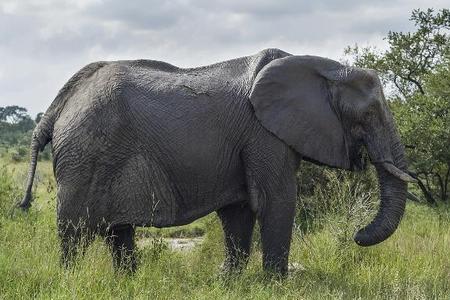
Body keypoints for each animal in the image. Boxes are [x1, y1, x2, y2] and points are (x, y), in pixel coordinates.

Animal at [20, 48, 414, 274]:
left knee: (120, 231)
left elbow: (240, 210)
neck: (325, 68)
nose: (357, 235)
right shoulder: (263, 133)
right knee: (75, 232)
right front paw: (273, 287)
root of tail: (58, 105)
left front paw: (230, 284)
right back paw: (71, 280)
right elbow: (275, 201)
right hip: (84, 153)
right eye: (369, 114)